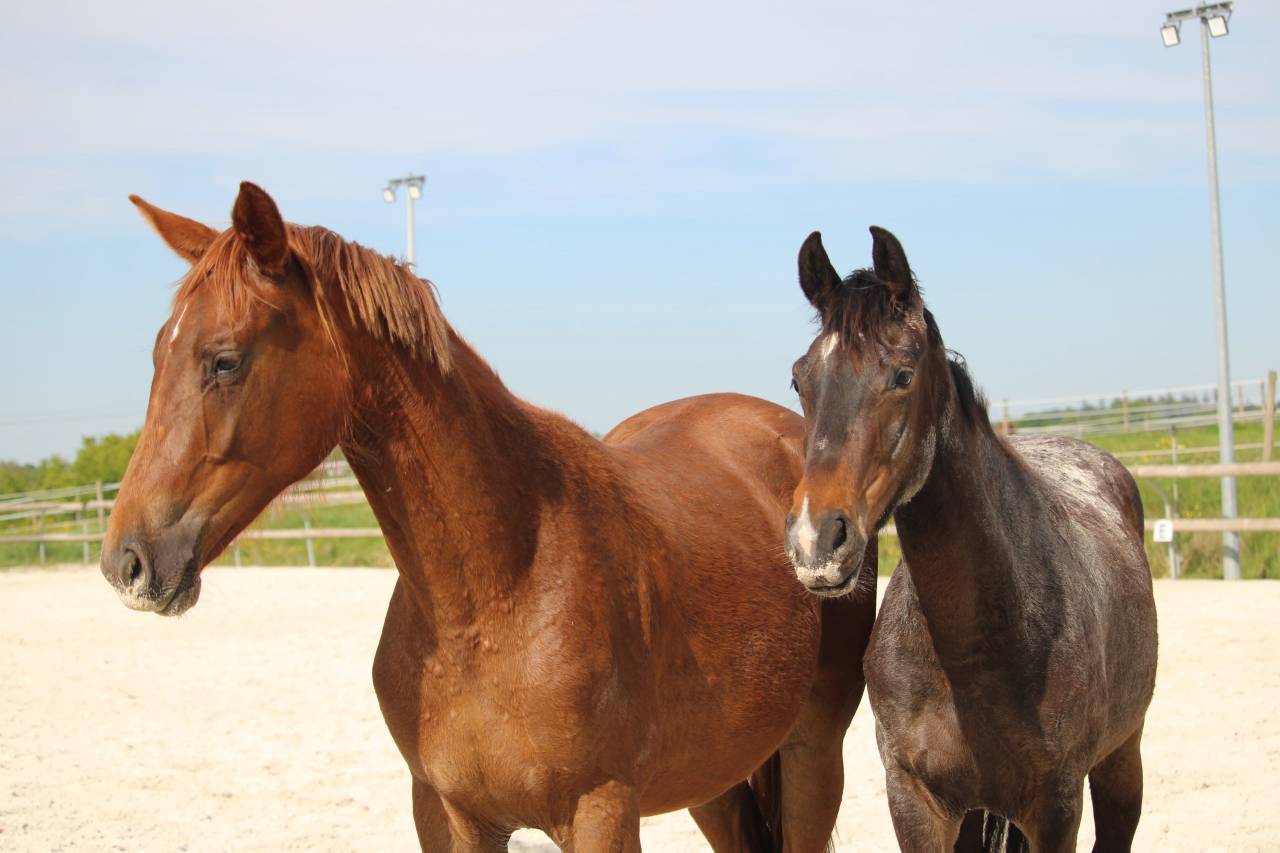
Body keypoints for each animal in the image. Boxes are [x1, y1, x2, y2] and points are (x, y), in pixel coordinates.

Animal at [99, 181, 879, 852]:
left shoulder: (600, 811)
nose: (126, 562)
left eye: (224, 361)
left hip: (811, 754)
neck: (497, 592)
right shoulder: (448, 814)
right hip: (712, 778)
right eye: (158, 352)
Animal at [780, 227, 1157, 852]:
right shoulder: (915, 800)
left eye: (902, 375)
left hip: (1122, 760)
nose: (816, 541)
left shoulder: (1058, 807)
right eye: (799, 379)